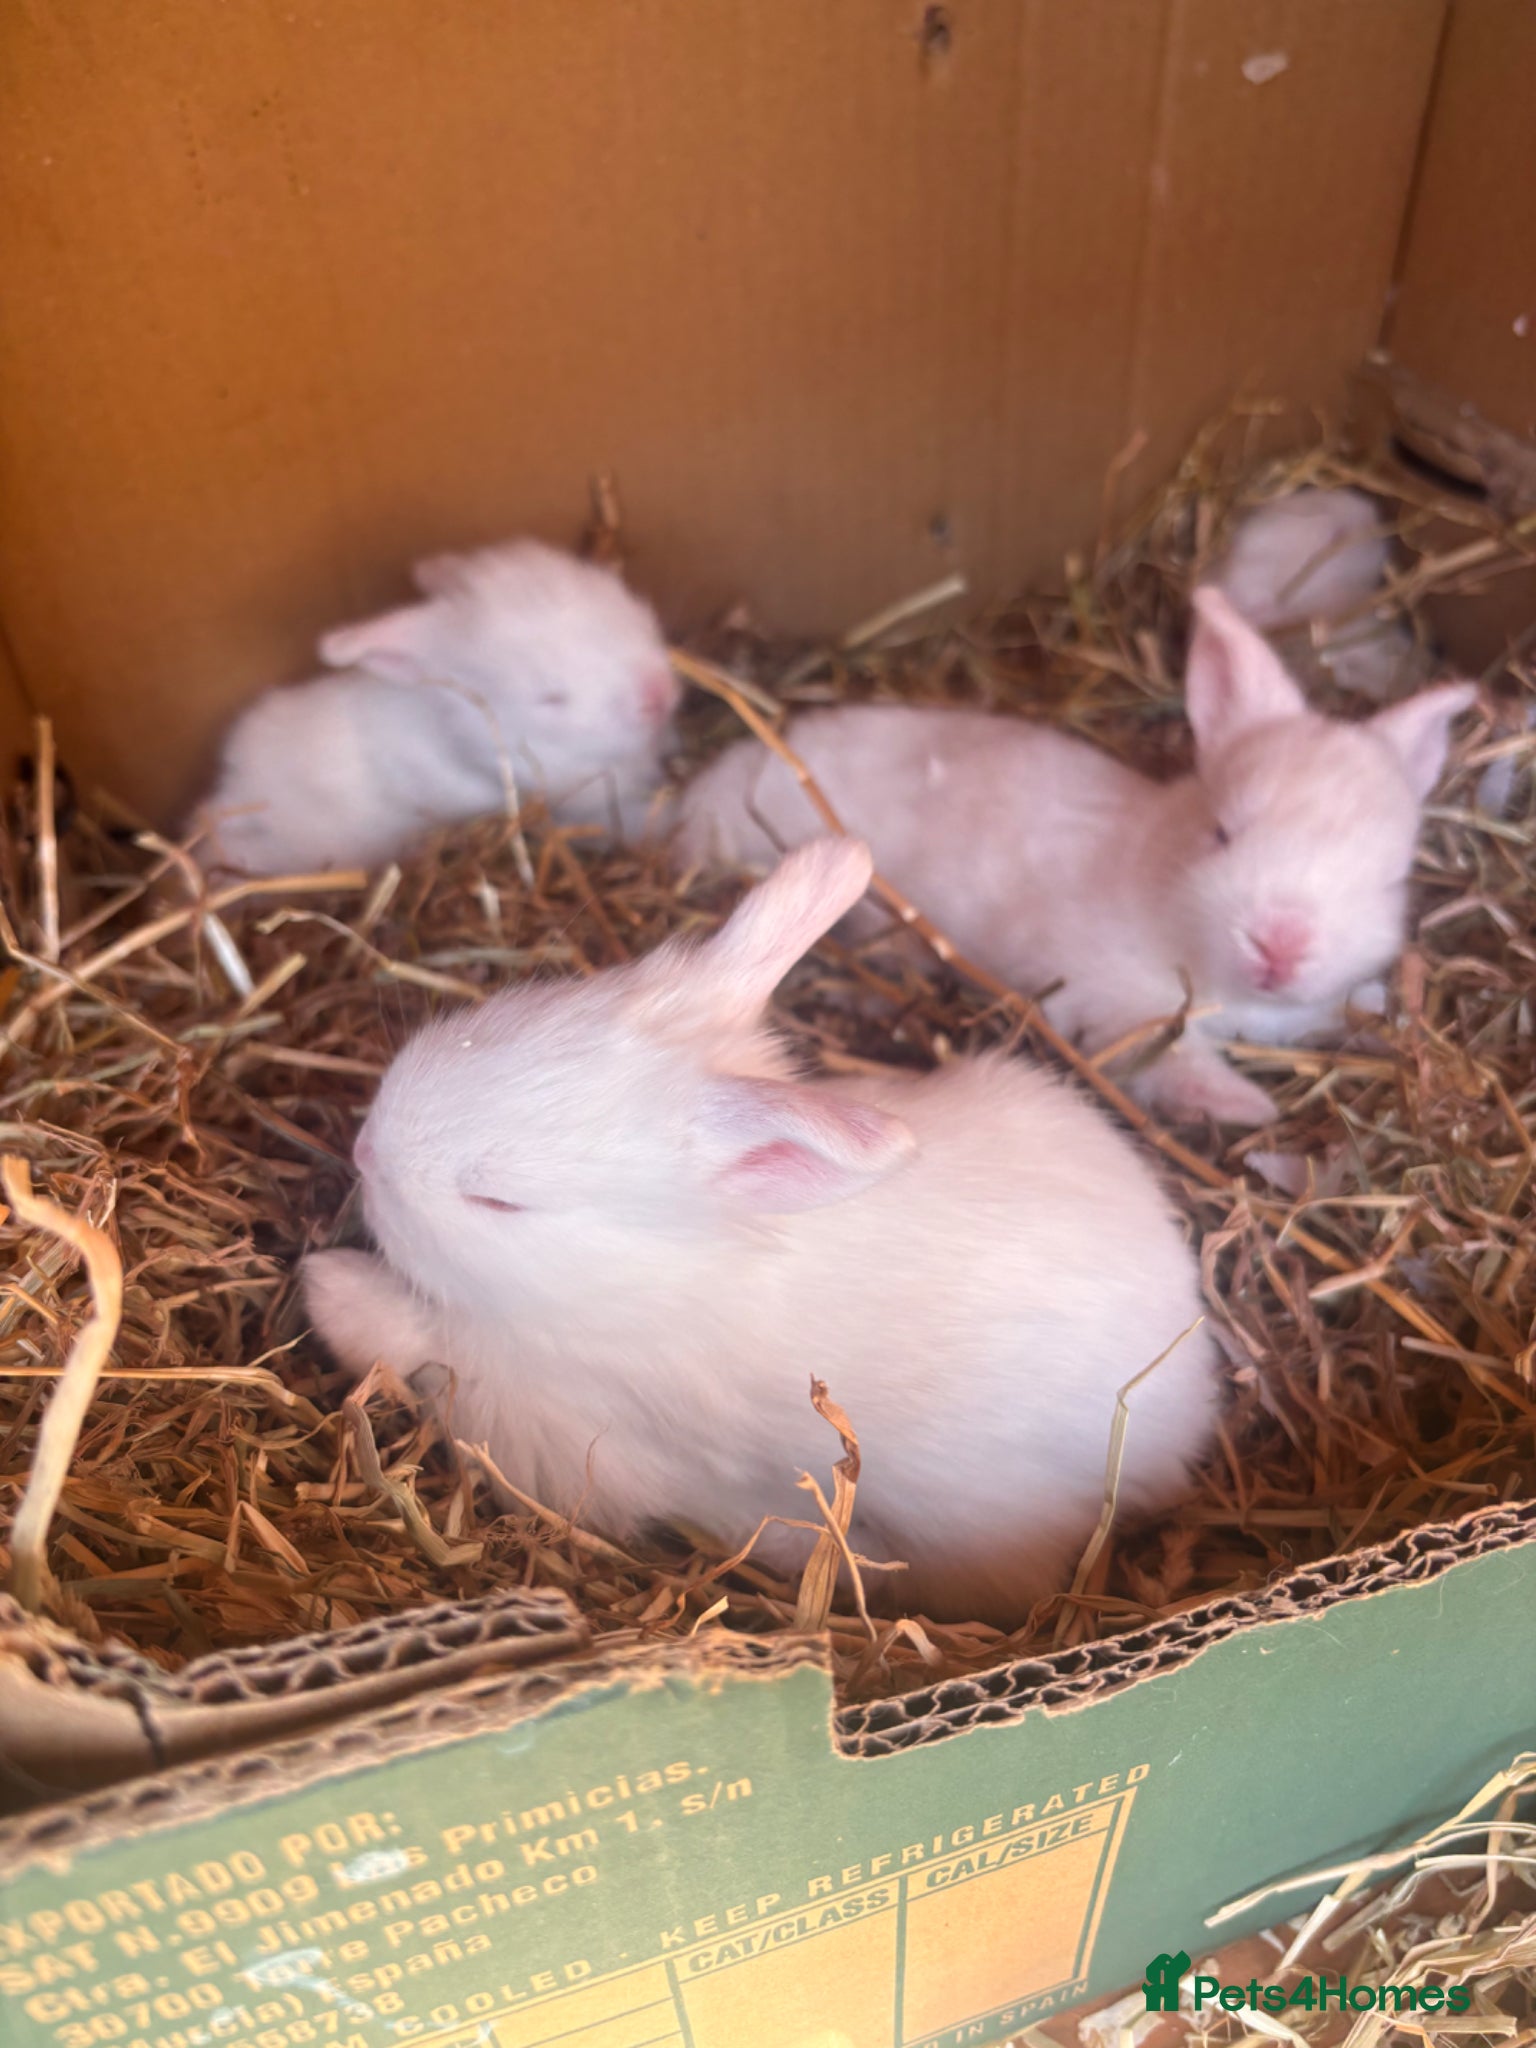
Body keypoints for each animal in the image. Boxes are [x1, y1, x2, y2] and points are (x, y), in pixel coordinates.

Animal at [302, 837, 1221, 1628]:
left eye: (498, 1203)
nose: (364, 1149)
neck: (636, 1276)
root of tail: (1192, 1403)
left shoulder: (563, 1426)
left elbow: (419, 1346)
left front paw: (325, 1282)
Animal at [671, 588, 1477, 1128]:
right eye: (1221, 832)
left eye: (1390, 879)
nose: (1281, 944)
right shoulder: (1114, 1000)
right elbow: (1171, 1060)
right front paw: (1246, 1107)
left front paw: (1384, 1016)